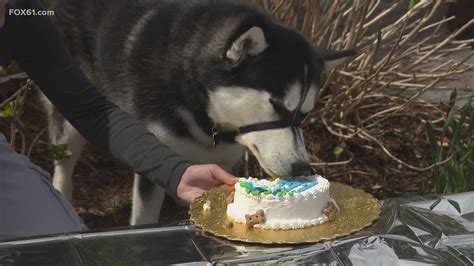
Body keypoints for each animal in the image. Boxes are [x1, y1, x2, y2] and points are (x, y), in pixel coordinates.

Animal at [46, 0, 354, 224]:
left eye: (304, 114)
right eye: (277, 105)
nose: (301, 167)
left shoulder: (224, 156)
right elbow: (145, 215)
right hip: (71, 99)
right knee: (64, 159)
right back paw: (60, 193)